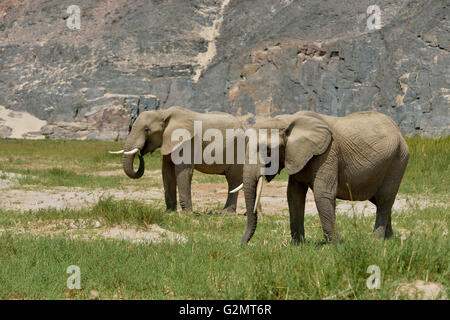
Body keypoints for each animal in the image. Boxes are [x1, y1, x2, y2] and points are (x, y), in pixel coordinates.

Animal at [109, 106, 244, 214]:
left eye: (147, 129)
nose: (140, 154)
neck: (163, 113)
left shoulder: (188, 141)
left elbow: (183, 172)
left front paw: (187, 214)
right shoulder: (169, 141)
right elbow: (167, 171)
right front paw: (169, 212)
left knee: (233, 179)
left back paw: (226, 213)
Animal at [232, 110, 412, 245]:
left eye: (267, 149)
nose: (243, 245)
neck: (289, 121)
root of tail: (398, 131)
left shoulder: (328, 153)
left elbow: (322, 193)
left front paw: (335, 246)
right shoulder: (297, 156)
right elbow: (294, 195)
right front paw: (298, 245)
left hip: (398, 159)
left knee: (384, 198)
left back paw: (376, 241)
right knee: (379, 200)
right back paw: (389, 239)